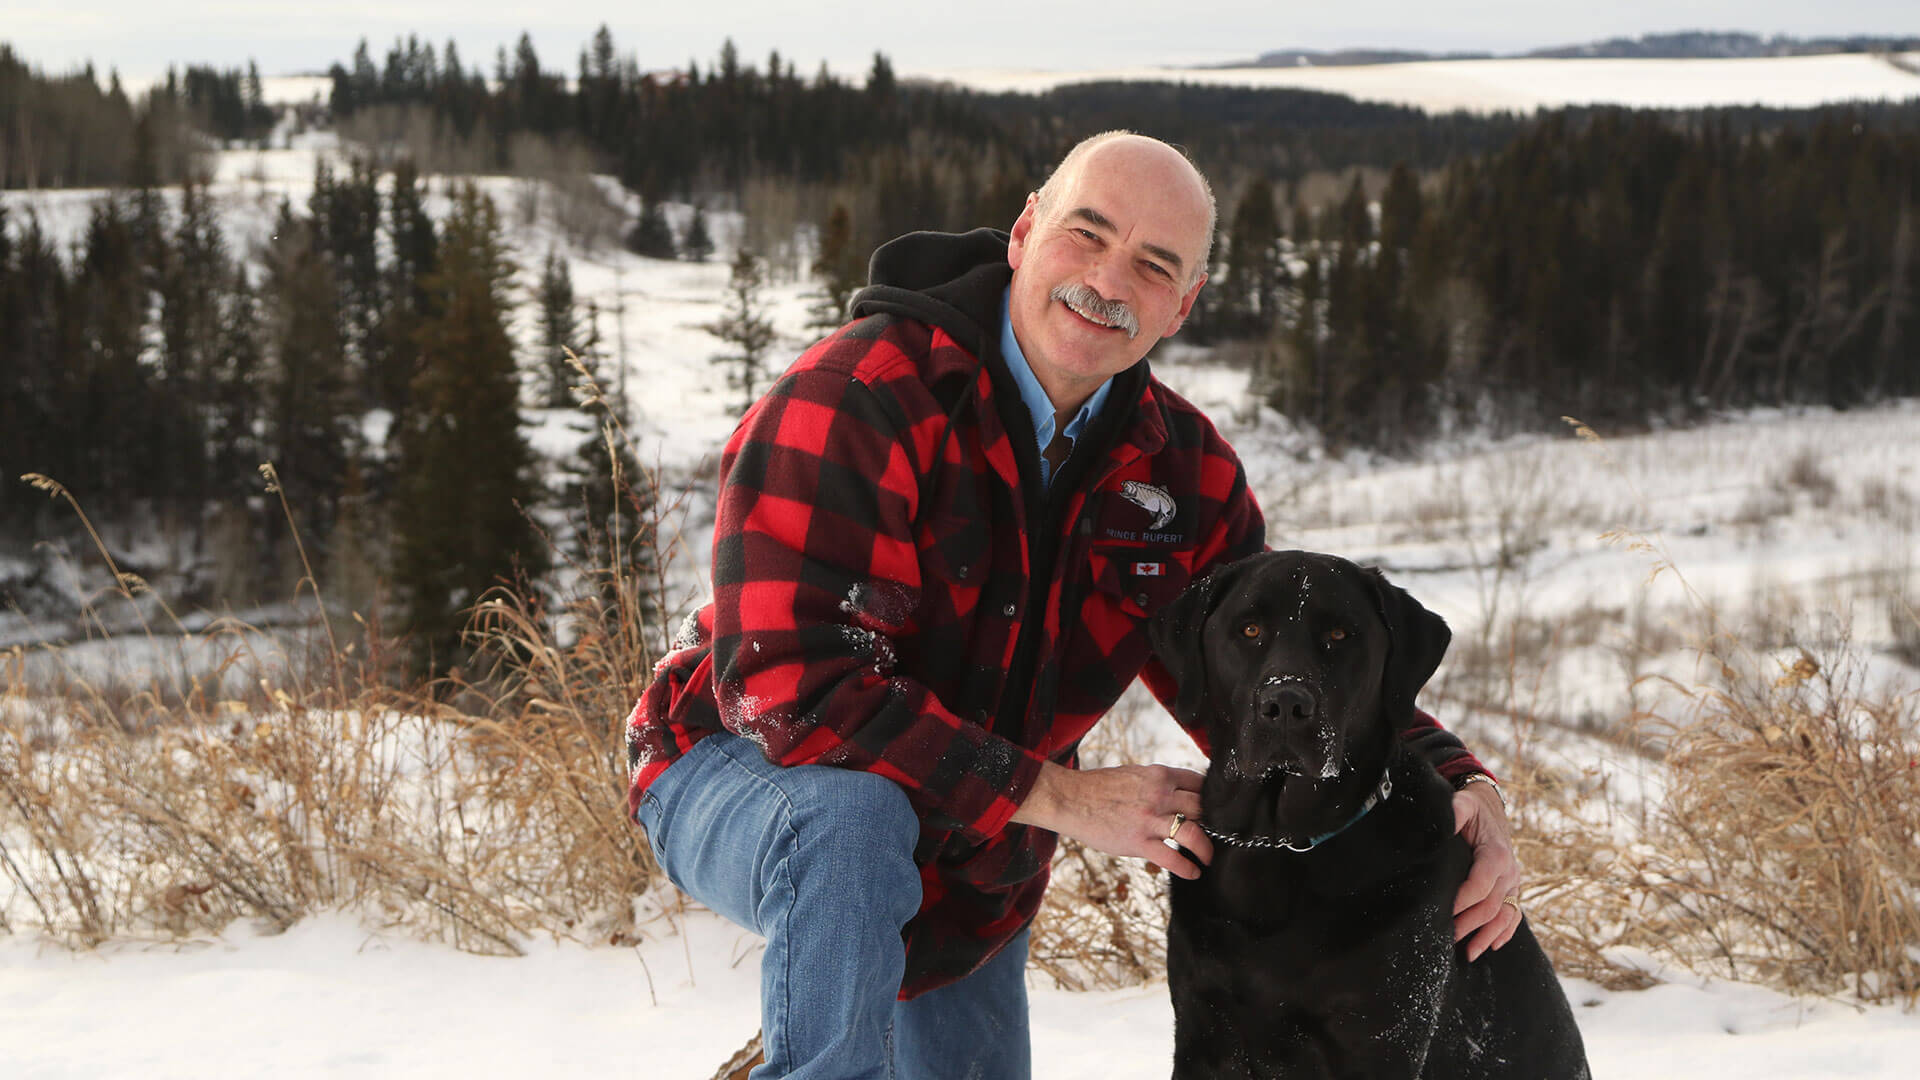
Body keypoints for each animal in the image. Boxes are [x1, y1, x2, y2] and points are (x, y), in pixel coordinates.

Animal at [1144, 549, 1582, 1076]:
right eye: (1249, 630)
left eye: (1339, 634)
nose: (1285, 702)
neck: (1279, 841)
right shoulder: (1203, 1032)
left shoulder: (1378, 1041)